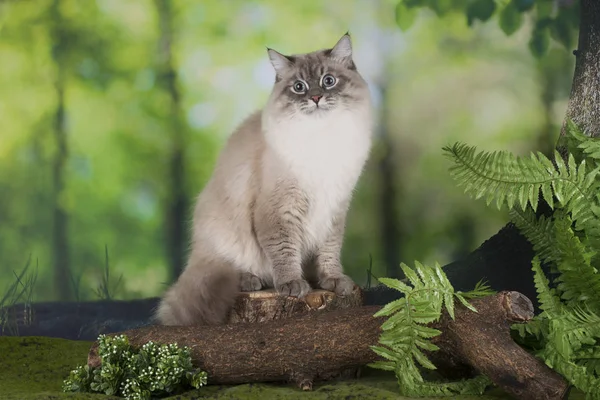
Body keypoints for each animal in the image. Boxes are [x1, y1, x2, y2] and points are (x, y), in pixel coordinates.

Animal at [155, 33, 372, 324]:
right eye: (299, 87)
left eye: (328, 81)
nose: (315, 97)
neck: (321, 139)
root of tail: (197, 252)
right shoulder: (279, 209)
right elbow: (284, 251)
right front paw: (292, 284)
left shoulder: (334, 209)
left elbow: (329, 252)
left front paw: (333, 280)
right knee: (232, 269)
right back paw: (252, 280)